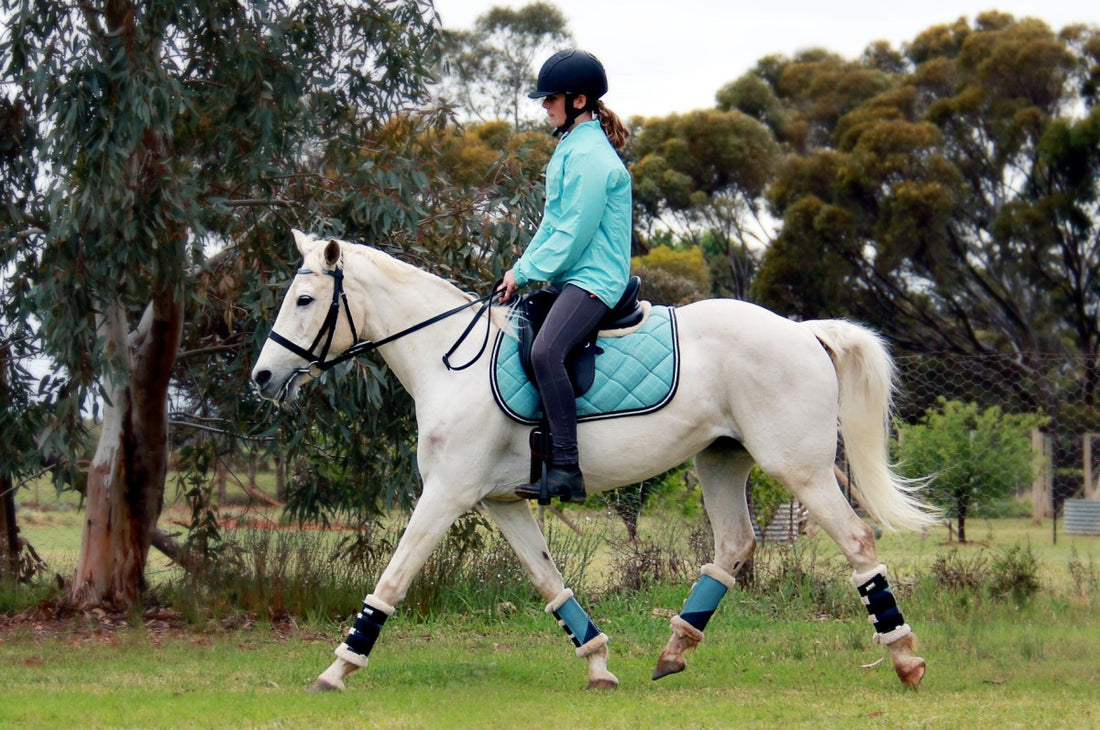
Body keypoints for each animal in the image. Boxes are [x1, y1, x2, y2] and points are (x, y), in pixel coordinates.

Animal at [253, 230, 932, 694]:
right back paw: (674, 650)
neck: (449, 358)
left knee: (857, 541)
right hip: (721, 461)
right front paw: (600, 663)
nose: (262, 378)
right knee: (735, 545)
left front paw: (337, 668)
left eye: (305, 299)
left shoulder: (446, 493)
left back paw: (904, 656)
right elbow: (550, 582)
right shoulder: (502, 503)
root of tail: (803, 330)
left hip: (802, 470)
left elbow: (392, 579)